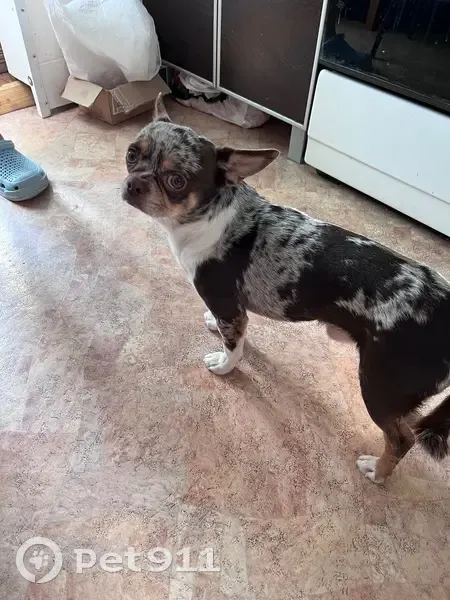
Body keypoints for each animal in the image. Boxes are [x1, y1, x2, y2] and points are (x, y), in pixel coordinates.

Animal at [122, 94, 450, 484]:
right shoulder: (233, 310)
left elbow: (233, 347)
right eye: (131, 154)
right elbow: (232, 332)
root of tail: (446, 307)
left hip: (378, 386)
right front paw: (213, 326)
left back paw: (377, 471)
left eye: (176, 180)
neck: (205, 217)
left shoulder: (228, 306)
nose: (133, 185)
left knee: (402, 439)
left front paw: (224, 365)